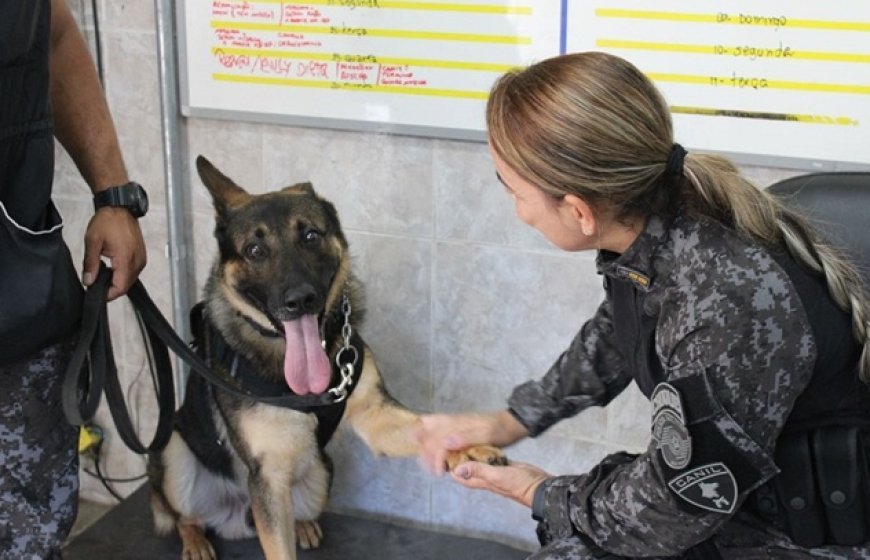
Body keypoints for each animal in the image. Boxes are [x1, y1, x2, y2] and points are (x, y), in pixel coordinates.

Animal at [148, 156, 504, 560]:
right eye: (255, 251)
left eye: (310, 237)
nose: (300, 300)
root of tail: (237, 516)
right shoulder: (268, 479)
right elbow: (279, 550)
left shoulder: (376, 415)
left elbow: (428, 427)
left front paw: (469, 450)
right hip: (173, 455)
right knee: (176, 513)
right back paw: (195, 541)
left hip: (320, 473)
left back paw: (303, 526)